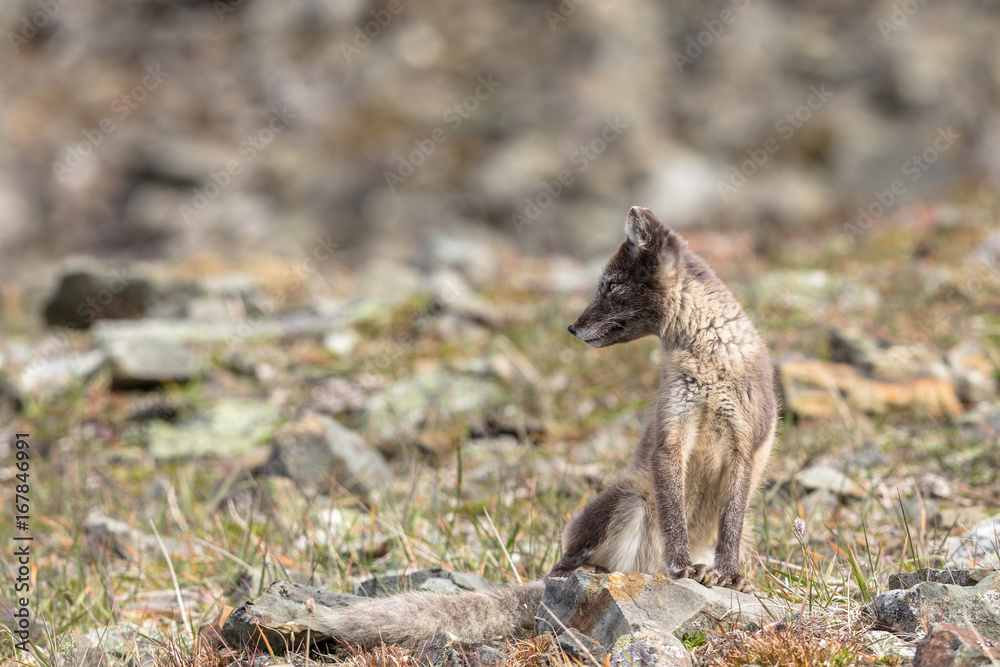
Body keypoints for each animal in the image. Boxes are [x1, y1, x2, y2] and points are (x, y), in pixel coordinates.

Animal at [310, 206, 777, 648]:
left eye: (611, 286)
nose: (571, 327)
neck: (709, 358)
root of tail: (646, 572)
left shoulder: (745, 447)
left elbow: (730, 523)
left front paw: (728, 576)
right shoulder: (671, 436)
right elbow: (674, 516)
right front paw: (682, 568)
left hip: (737, 528)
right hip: (627, 501)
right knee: (564, 570)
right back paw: (593, 573)